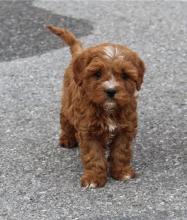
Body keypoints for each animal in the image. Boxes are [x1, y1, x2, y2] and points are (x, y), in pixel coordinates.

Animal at [47, 25, 145, 187]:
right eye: (97, 73)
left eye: (125, 75)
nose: (111, 91)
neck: (108, 109)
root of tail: (78, 54)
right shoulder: (88, 130)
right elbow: (93, 155)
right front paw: (94, 178)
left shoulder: (126, 127)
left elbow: (121, 151)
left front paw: (122, 172)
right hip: (67, 102)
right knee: (65, 119)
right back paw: (67, 139)